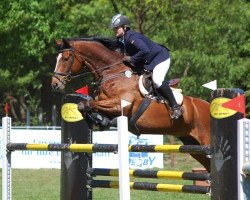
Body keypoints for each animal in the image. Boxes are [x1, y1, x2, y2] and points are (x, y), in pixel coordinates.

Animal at [50, 37, 211, 170]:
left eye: (66, 58)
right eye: (56, 58)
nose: (55, 85)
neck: (112, 72)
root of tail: (207, 105)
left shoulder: (121, 105)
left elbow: (87, 104)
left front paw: (102, 120)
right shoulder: (103, 102)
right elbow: (84, 105)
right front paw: (101, 121)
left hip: (205, 141)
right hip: (192, 145)